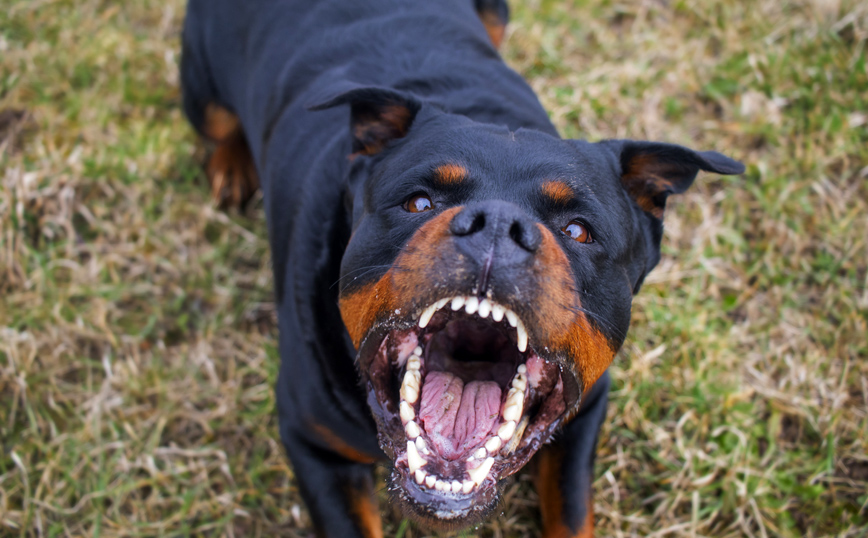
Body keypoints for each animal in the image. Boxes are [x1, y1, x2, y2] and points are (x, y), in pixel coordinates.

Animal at [180, 2, 744, 532]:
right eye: (418, 202)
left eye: (579, 231)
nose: (497, 224)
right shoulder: (311, 441)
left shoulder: (586, 409)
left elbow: (572, 513)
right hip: (203, 91)